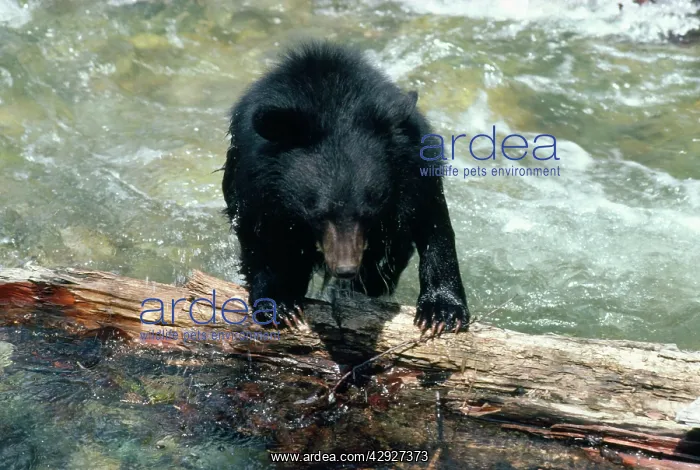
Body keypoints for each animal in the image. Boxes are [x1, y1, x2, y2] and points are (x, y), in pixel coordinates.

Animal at [222, 40, 470, 335]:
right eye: (318, 213)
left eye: (368, 212)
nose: (345, 269)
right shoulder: (254, 180)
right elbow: (259, 237)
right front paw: (279, 305)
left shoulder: (415, 171)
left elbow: (432, 225)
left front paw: (442, 311)